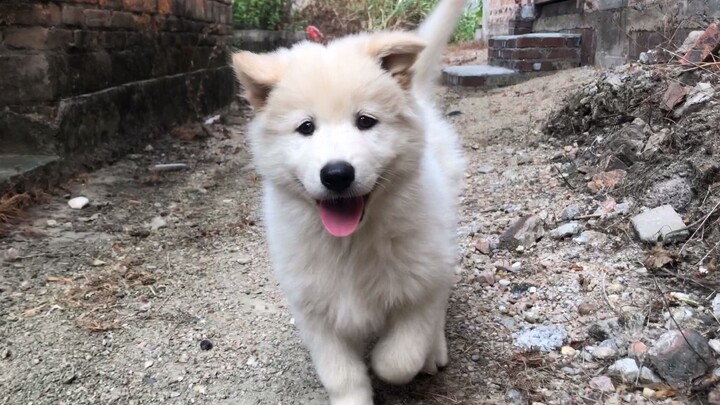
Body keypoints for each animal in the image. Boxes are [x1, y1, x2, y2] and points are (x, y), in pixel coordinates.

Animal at [231, 1, 466, 402]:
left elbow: (399, 357)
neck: (350, 244)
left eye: (366, 121)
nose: (337, 174)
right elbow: (341, 374)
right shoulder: (315, 310)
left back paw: (435, 351)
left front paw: (393, 359)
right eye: (306, 127)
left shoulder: (420, 284)